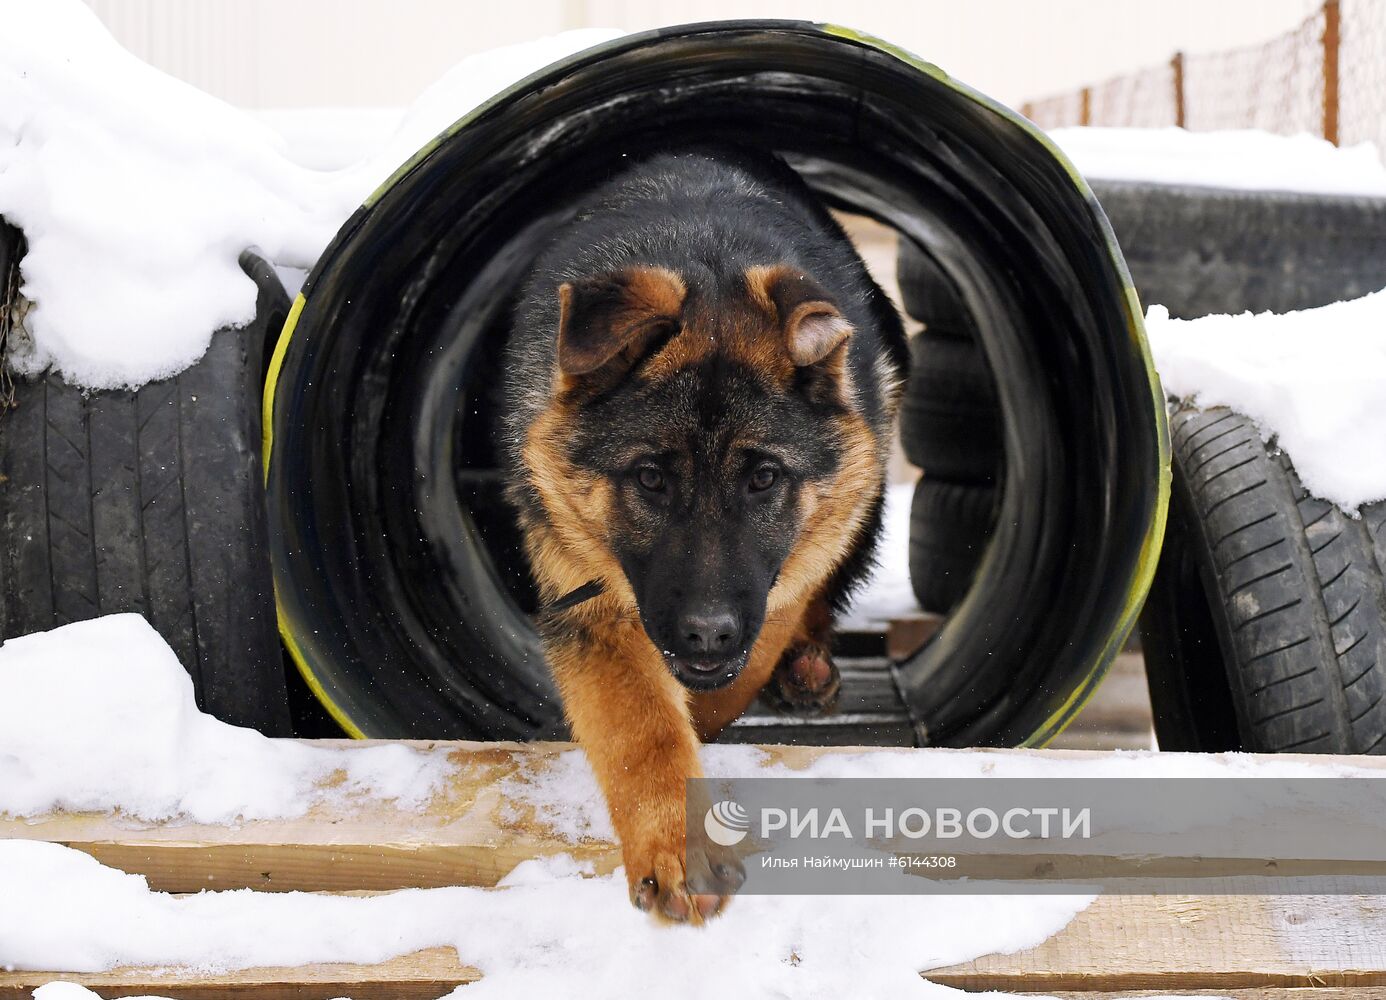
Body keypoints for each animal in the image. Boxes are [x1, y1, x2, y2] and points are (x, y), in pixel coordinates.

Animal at [504, 146, 903, 919]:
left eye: (764, 478)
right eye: (651, 478)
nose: (707, 634)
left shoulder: (784, 578)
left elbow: (743, 663)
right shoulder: (590, 605)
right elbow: (644, 730)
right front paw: (677, 847)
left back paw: (806, 667)